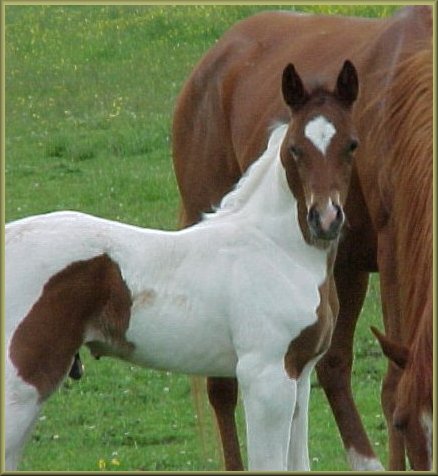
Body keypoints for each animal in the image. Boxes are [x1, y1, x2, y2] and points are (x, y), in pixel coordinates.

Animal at [5, 61, 358, 470]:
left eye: (351, 144)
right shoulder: (264, 375)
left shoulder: (299, 374)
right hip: (22, 383)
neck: (277, 248)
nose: (326, 219)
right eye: (295, 149)